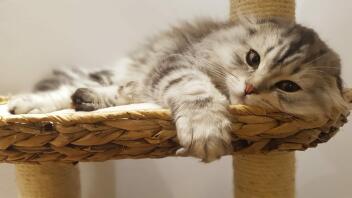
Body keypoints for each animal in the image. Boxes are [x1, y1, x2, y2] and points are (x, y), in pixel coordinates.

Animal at [6, 17, 348, 162]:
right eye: (253, 58)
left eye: (287, 86)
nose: (250, 88)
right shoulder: (177, 65)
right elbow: (197, 93)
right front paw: (206, 133)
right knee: (68, 88)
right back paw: (24, 106)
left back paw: (86, 100)